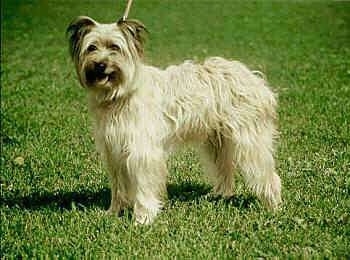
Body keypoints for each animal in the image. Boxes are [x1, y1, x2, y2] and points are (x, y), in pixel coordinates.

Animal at [67, 16, 284, 224]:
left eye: (114, 47)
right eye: (92, 48)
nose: (100, 65)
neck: (120, 93)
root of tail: (255, 79)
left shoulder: (141, 152)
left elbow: (143, 187)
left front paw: (143, 218)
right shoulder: (114, 152)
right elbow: (118, 186)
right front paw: (114, 212)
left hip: (250, 142)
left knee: (267, 175)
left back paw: (273, 206)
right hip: (217, 142)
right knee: (224, 170)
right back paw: (219, 197)